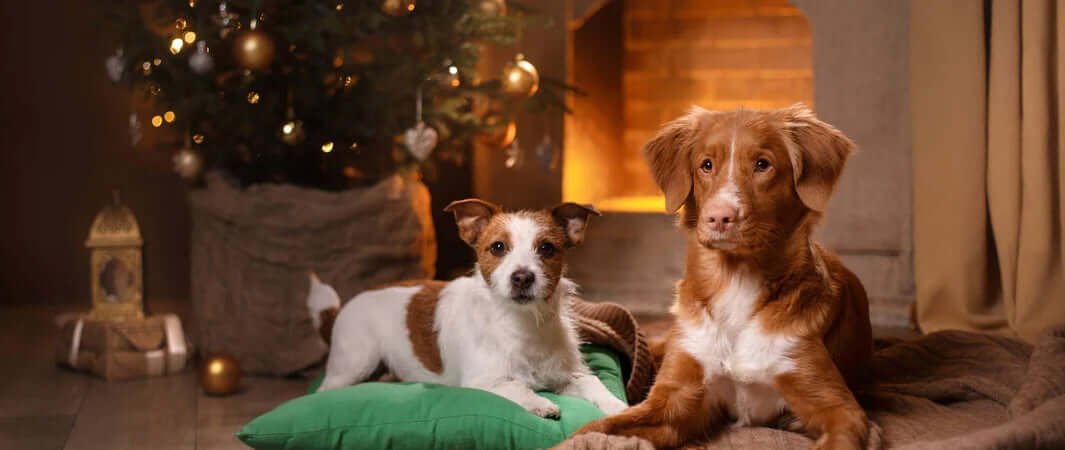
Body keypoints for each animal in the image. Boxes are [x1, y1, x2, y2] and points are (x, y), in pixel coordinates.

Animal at [308, 201, 626, 419]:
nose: (522, 277)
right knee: (325, 390)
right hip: (354, 364)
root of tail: (344, 307)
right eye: (498, 247)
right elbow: (516, 387)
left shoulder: (570, 375)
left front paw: (618, 406)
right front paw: (539, 403)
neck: (520, 324)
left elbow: (594, 382)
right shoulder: (483, 382)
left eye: (547, 249)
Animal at [575, 103, 873, 448]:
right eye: (706, 165)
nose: (719, 217)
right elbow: (596, 428)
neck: (736, 280)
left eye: (762, 165)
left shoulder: (837, 406)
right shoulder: (678, 392)